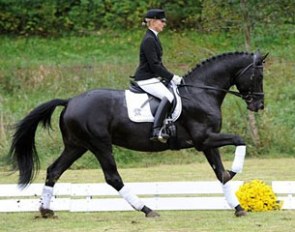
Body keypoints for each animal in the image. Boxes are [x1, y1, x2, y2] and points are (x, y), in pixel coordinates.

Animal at [9, 50, 268, 218]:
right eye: (259, 76)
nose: (259, 106)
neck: (201, 93)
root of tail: (70, 100)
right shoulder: (203, 139)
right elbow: (239, 141)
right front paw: (235, 172)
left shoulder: (207, 141)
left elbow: (220, 174)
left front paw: (238, 208)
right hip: (99, 144)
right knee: (113, 177)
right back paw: (147, 210)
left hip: (76, 146)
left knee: (54, 171)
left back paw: (46, 210)